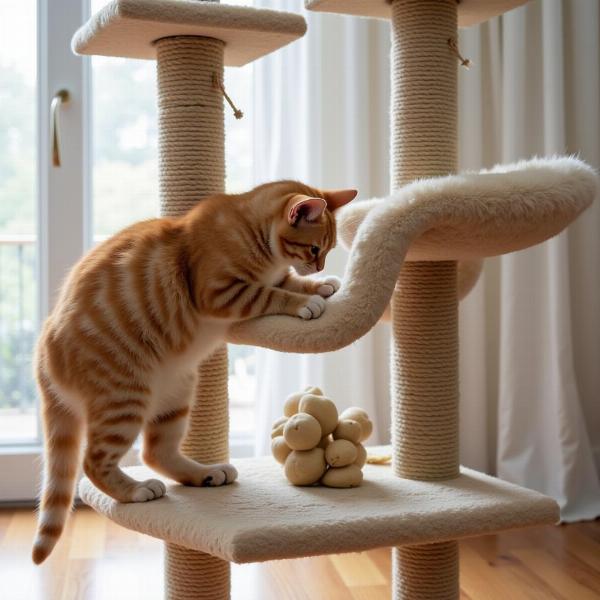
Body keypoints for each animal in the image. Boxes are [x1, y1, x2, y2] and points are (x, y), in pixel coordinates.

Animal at [31, 179, 356, 564]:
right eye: (314, 248)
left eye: (328, 250)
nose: (319, 267)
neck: (250, 233)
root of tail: (43, 350)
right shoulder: (219, 292)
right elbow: (272, 294)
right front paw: (307, 300)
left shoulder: (271, 277)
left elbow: (286, 281)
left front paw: (319, 286)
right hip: (125, 400)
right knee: (94, 462)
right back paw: (136, 491)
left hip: (177, 392)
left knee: (156, 452)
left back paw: (206, 474)